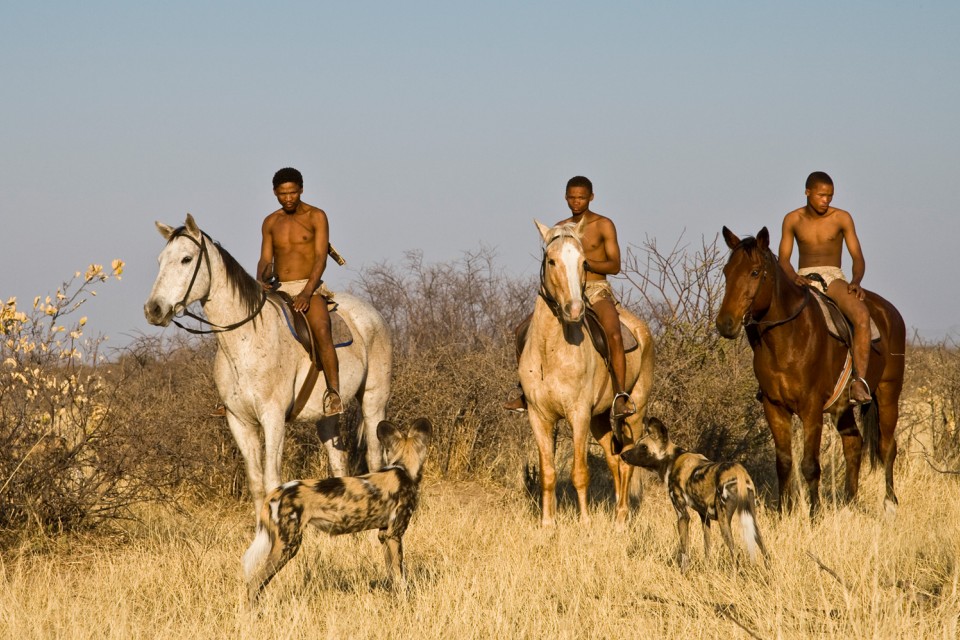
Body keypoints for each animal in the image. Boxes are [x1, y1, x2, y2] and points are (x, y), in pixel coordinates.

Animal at [144, 215, 392, 516]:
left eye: (186, 259)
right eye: (160, 260)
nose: (153, 310)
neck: (245, 340)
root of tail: (373, 314)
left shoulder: (272, 418)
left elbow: (273, 480)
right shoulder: (239, 422)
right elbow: (256, 482)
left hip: (373, 401)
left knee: (375, 459)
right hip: (327, 416)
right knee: (338, 461)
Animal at [242, 418, 434, 608]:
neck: (404, 468)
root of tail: (276, 492)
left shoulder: (384, 534)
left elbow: (392, 574)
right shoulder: (394, 535)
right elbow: (400, 576)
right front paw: (404, 602)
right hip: (287, 545)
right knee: (254, 584)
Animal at [520, 220, 656, 524]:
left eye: (583, 263)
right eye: (551, 260)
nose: (574, 310)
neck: (551, 350)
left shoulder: (578, 414)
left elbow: (580, 473)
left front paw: (584, 523)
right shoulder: (538, 416)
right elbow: (547, 473)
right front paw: (548, 523)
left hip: (634, 413)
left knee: (626, 462)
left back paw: (620, 520)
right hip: (601, 419)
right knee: (615, 460)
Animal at [620, 418, 768, 572]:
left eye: (643, 447)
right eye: (637, 444)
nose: (623, 455)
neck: (671, 460)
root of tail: (739, 470)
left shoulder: (682, 516)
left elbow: (684, 551)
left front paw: (683, 572)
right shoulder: (705, 517)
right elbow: (707, 548)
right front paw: (707, 569)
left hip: (724, 522)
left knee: (735, 553)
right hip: (752, 520)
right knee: (765, 551)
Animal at [712, 228, 908, 516]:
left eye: (755, 272)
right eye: (727, 271)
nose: (725, 323)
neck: (787, 338)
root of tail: (890, 312)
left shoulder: (811, 408)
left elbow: (810, 465)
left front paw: (814, 515)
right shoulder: (774, 407)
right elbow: (784, 463)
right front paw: (784, 513)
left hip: (888, 394)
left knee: (887, 447)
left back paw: (890, 504)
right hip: (843, 407)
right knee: (853, 444)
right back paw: (849, 504)